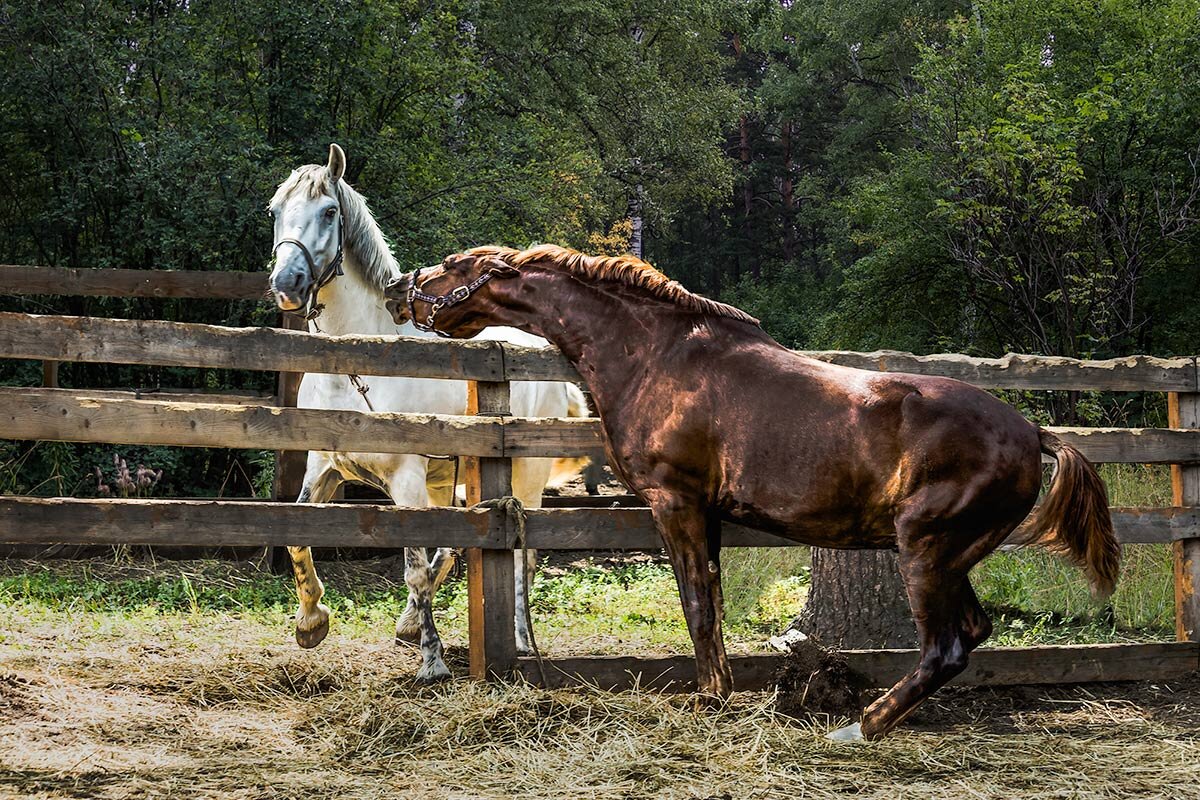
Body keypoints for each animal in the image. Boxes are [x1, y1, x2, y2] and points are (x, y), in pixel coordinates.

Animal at [267, 140, 585, 681]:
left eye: (329, 211)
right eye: (273, 211)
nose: (287, 281)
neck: (358, 369)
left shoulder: (406, 480)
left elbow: (415, 568)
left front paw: (432, 662)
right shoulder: (325, 468)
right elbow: (295, 536)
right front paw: (311, 623)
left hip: (525, 476)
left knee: (521, 554)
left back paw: (520, 639)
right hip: (450, 480)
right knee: (458, 542)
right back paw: (410, 622)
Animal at [386, 244, 1123, 738]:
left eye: (453, 264)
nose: (399, 289)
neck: (655, 357)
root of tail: (1033, 434)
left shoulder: (675, 502)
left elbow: (695, 605)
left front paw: (707, 699)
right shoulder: (706, 514)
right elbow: (709, 600)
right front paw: (721, 691)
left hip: (925, 550)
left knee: (944, 647)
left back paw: (860, 725)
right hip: (951, 556)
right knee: (970, 635)